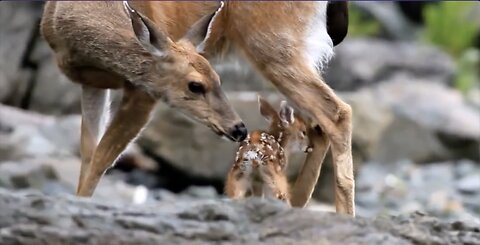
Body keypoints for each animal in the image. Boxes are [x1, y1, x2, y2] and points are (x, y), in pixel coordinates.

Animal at [40, 0, 352, 215]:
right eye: (196, 85)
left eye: (217, 80)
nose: (239, 128)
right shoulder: (92, 84)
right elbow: (88, 154)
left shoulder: (144, 93)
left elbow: (101, 159)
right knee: (316, 125)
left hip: (275, 43)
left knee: (336, 112)